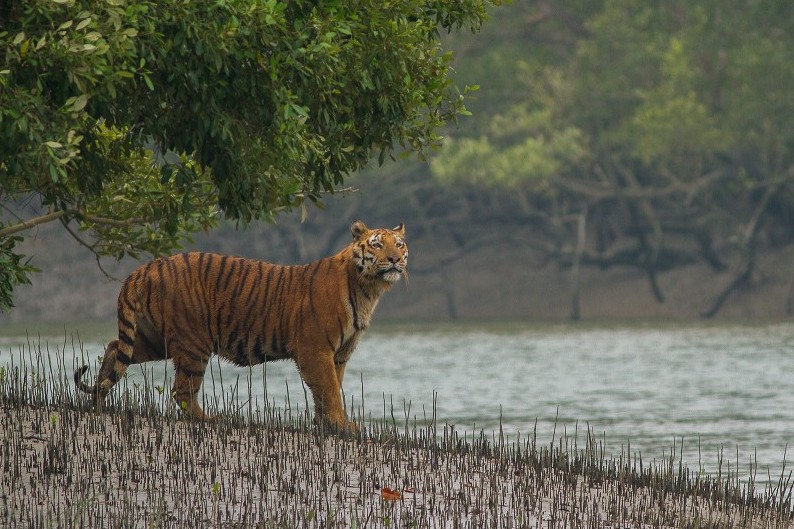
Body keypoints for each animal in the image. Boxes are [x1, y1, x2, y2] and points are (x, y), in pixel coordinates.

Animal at [72, 221, 408, 432]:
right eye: (377, 245)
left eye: (399, 244)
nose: (394, 259)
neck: (368, 289)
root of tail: (145, 267)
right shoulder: (315, 349)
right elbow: (329, 390)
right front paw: (342, 425)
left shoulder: (339, 354)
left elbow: (330, 389)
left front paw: (327, 424)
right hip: (193, 343)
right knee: (182, 391)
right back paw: (210, 419)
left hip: (154, 339)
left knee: (114, 349)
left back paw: (98, 402)